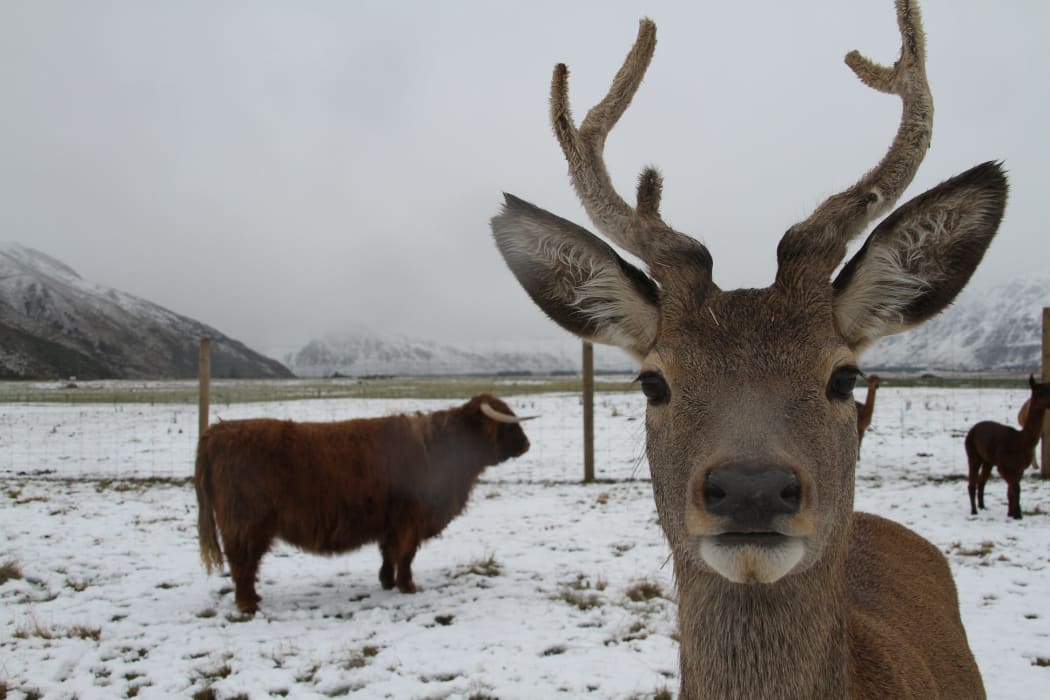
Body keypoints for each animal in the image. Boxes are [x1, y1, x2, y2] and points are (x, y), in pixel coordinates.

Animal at [965, 377, 1050, 520]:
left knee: (982, 481)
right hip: (972, 453)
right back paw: (974, 511)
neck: (1020, 442)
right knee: (972, 482)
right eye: (1039, 393)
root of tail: (974, 428)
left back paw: (982, 506)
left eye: (1049, 390)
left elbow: (1011, 490)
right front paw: (1017, 514)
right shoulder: (1004, 466)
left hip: (988, 460)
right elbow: (1016, 488)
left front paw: (1011, 513)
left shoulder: (1019, 468)